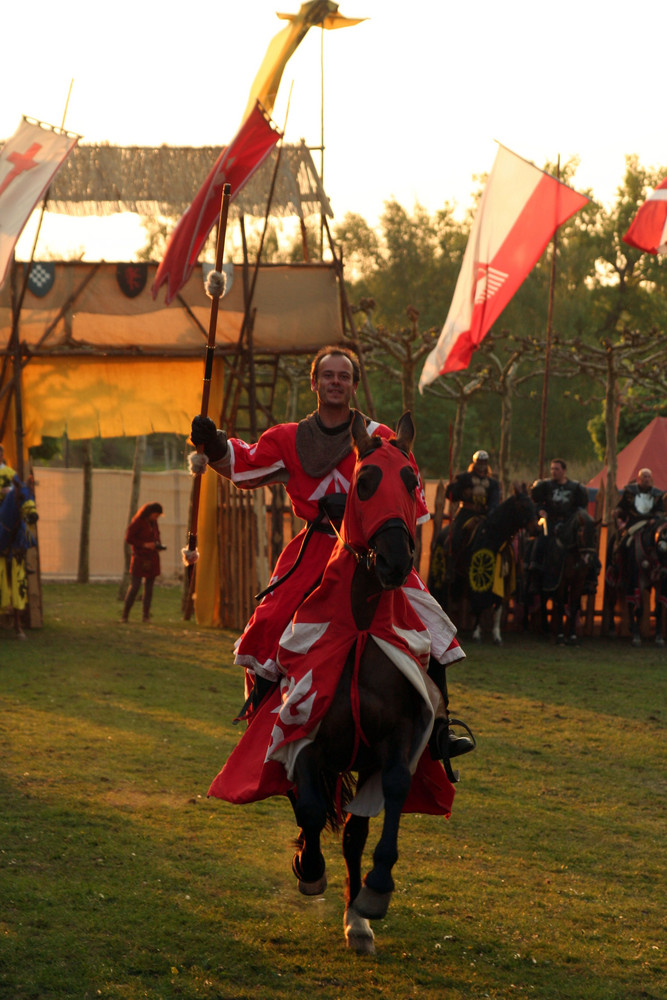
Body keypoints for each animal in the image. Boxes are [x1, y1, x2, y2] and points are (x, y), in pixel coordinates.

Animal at [430, 486, 540, 644]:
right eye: (523, 506)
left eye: (533, 505)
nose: (536, 530)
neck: (494, 537)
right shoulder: (477, 578)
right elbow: (478, 604)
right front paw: (476, 633)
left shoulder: (501, 579)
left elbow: (498, 608)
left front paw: (497, 636)